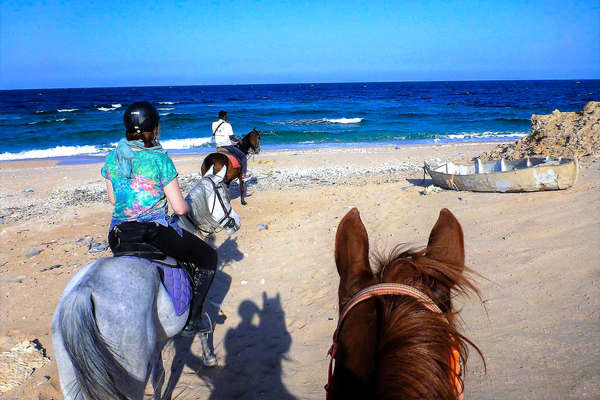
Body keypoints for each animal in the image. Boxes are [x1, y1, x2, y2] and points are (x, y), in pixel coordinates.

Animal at [51, 164, 239, 398]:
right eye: (226, 196)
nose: (236, 223)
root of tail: (83, 293)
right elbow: (203, 325)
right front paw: (209, 357)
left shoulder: (157, 341)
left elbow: (159, 376)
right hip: (131, 375)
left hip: (70, 375)